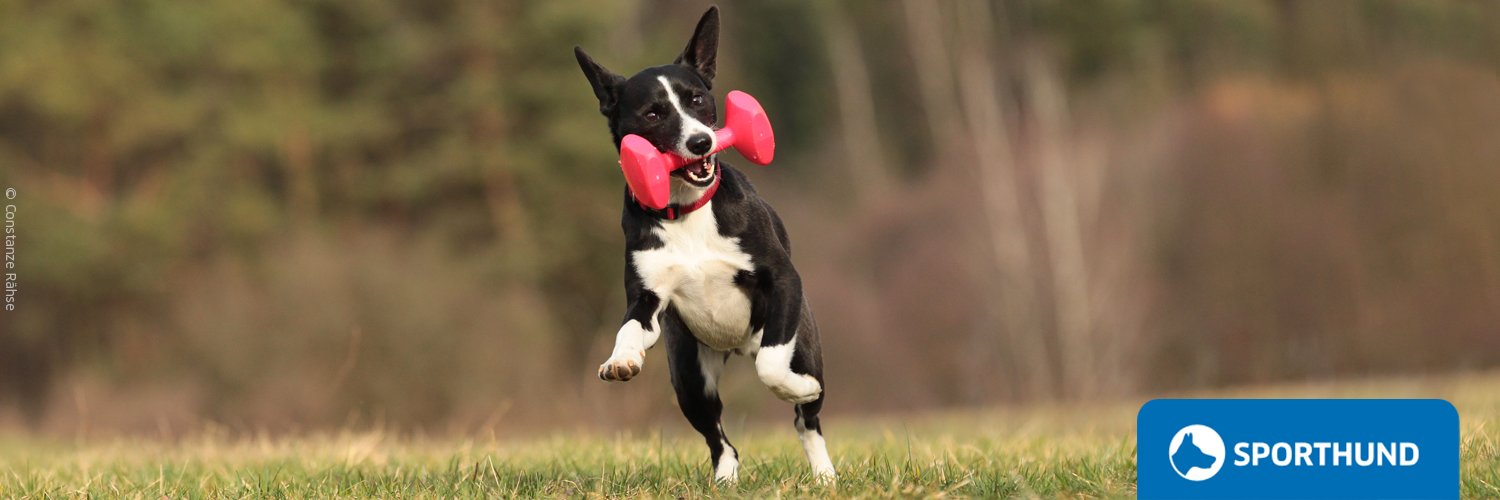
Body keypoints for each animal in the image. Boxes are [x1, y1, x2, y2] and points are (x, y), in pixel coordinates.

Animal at [570, 5, 834, 483]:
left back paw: (824, 473)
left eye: (696, 99)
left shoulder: (783, 280)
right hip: (690, 374)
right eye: (652, 114)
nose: (700, 142)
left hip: (803, 342)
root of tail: (736, 346)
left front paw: (798, 387)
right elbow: (629, 327)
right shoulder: (646, 298)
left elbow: (773, 366)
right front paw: (621, 359)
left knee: (807, 419)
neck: (686, 210)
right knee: (718, 436)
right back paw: (725, 479)